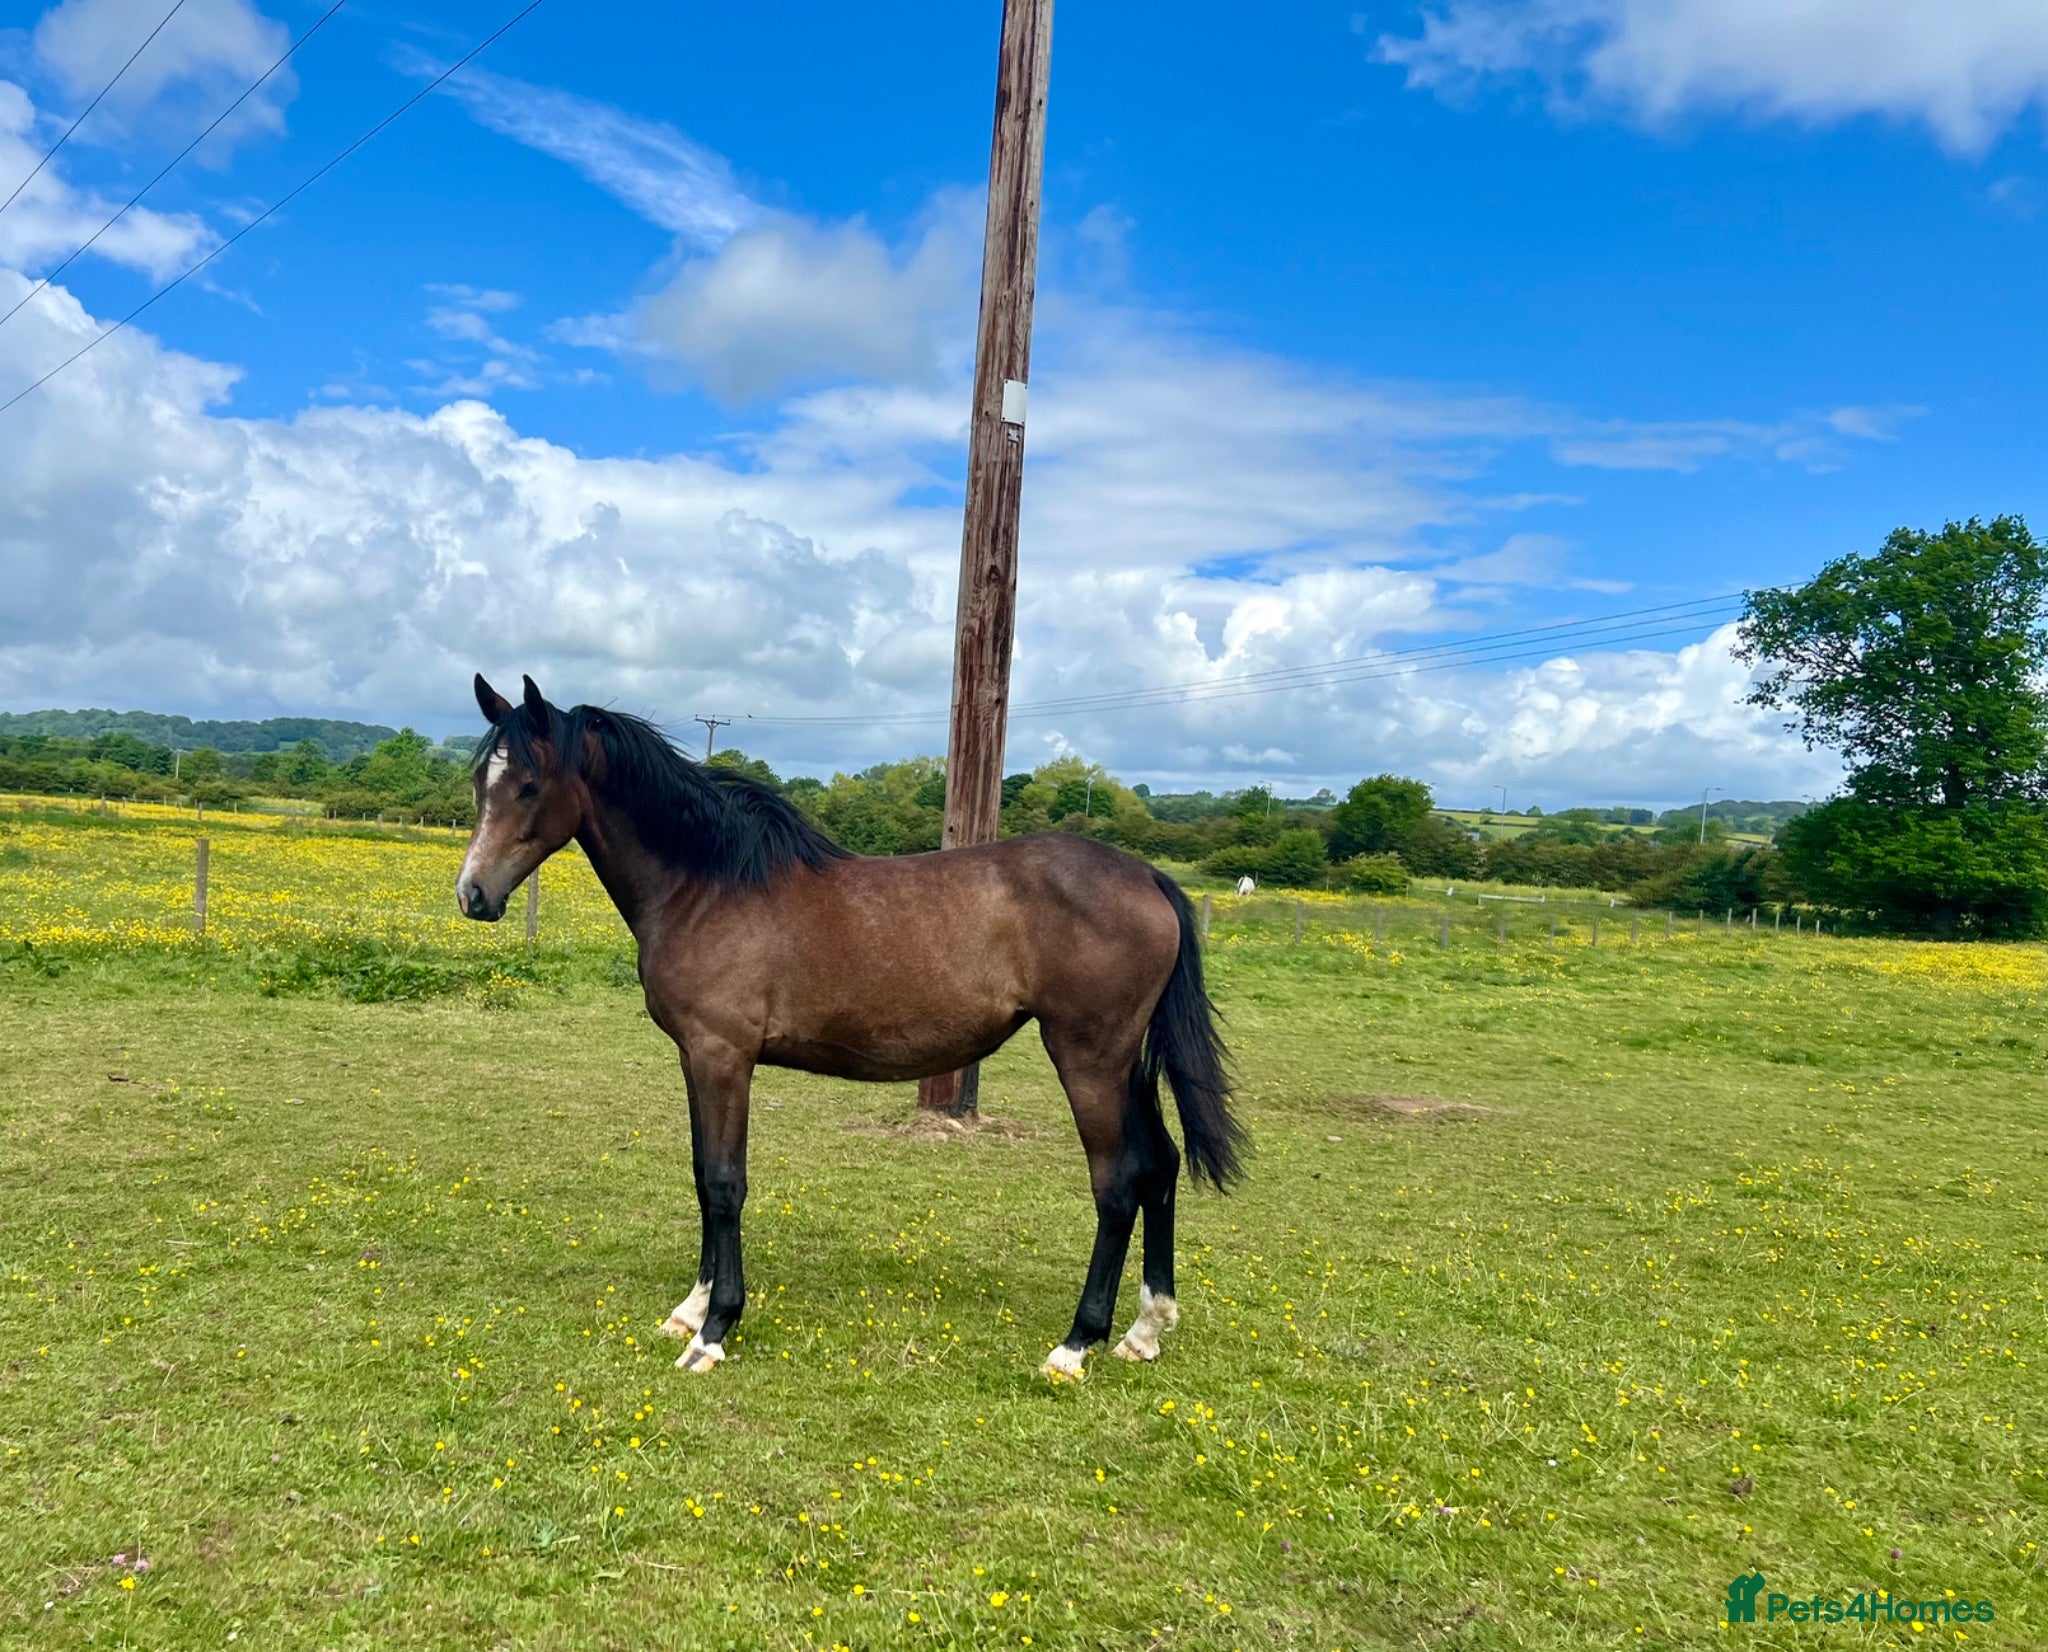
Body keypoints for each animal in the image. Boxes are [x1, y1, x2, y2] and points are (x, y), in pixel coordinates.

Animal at [454, 675, 1244, 1380]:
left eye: (529, 785)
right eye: (479, 784)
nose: (473, 895)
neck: (708, 885)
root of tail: (1148, 876)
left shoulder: (722, 1056)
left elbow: (724, 1183)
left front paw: (714, 1331)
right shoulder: (695, 1059)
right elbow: (702, 1175)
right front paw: (691, 1308)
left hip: (1088, 1060)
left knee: (1117, 1185)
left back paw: (1076, 1345)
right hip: (1124, 1063)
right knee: (1160, 1166)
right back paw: (1145, 1331)